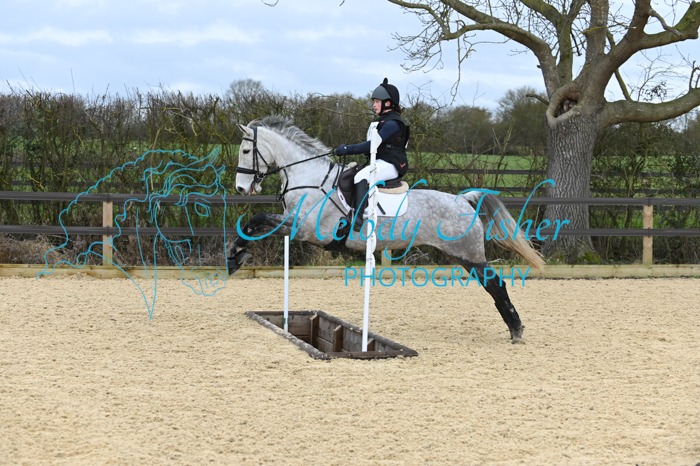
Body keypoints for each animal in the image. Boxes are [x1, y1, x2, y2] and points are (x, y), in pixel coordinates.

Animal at [228, 115, 545, 343]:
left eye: (245, 150)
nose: (241, 189)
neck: (308, 177)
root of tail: (463, 200)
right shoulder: (291, 224)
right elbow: (257, 222)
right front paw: (237, 255)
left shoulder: (304, 229)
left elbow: (257, 220)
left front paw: (235, 256)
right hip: (462, 255)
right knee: (493, 285)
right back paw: (515, 329)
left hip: (469, 254)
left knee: (496, 285)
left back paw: (516, 330)